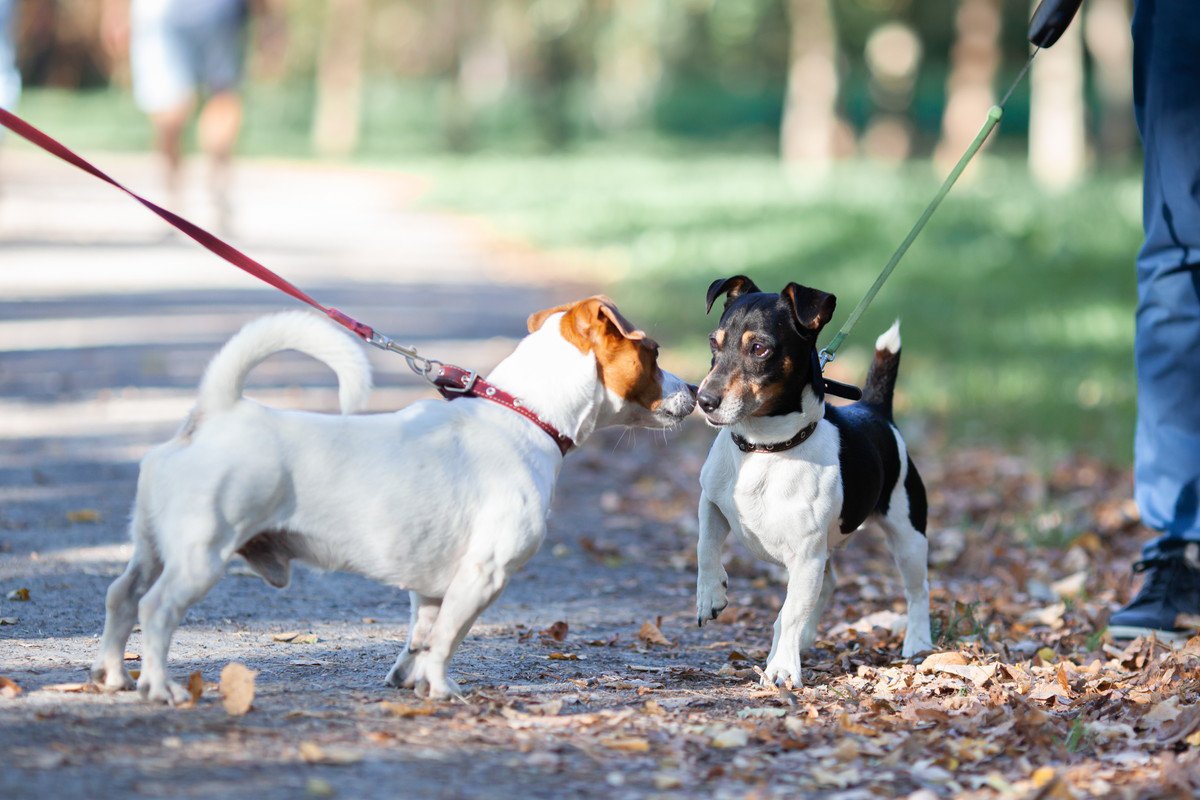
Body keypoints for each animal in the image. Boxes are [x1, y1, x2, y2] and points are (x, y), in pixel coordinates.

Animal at [93, 298, 696, 700]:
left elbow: (422, 637)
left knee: (121, 597)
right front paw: (441, 689)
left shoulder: (428, 590)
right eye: (653, 353)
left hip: (152, 549)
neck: (525, 415)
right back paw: (160, 687)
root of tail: (219, 412)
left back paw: (115, 676)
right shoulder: (483, 575)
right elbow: (448, 639)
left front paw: (410, 679)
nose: (693, 391)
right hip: (200, 556)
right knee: (155, 609)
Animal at [691, 277, 931, 690]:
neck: (765, 449)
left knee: (917, 591)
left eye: (759, 348)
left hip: (908, 536)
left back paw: (917, 641)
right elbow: (705, 547)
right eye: (713, 344)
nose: (703, 400)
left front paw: (782, 670)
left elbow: (788, 613)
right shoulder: (712, 502)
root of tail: (876, 409)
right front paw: (710, 596)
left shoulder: (805, 557)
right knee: (828, 586)